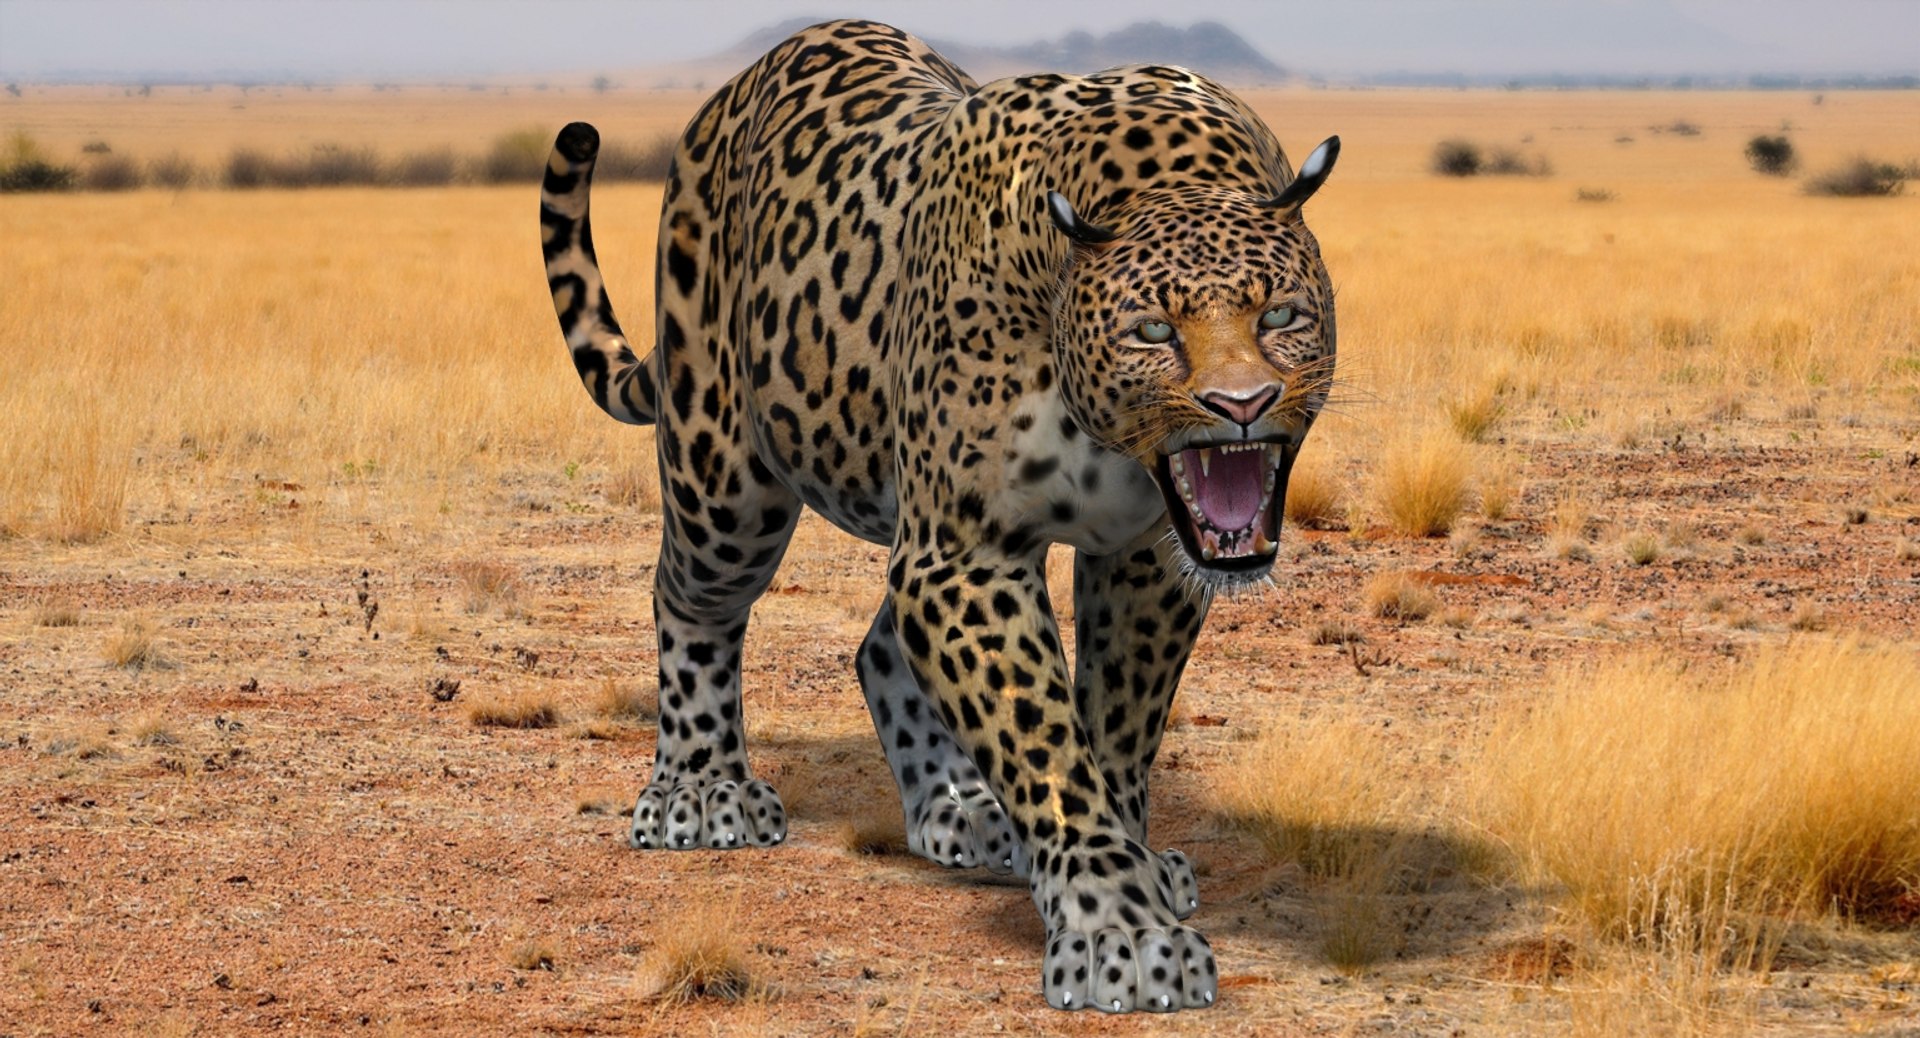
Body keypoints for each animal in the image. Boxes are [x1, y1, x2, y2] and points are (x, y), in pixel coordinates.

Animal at [538, 18, 1338, 1013]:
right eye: (1154, 329)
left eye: (1283, 316)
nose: (1241, 404)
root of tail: (730, 93)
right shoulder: (967, 553)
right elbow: (1044, 738)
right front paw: (1120, 927)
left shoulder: (1142, 552)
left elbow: (1113, 726)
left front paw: (1127, 868)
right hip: (723, 473)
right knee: (691, 600)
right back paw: (700, 790)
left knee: (879, 642)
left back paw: (962, 810)